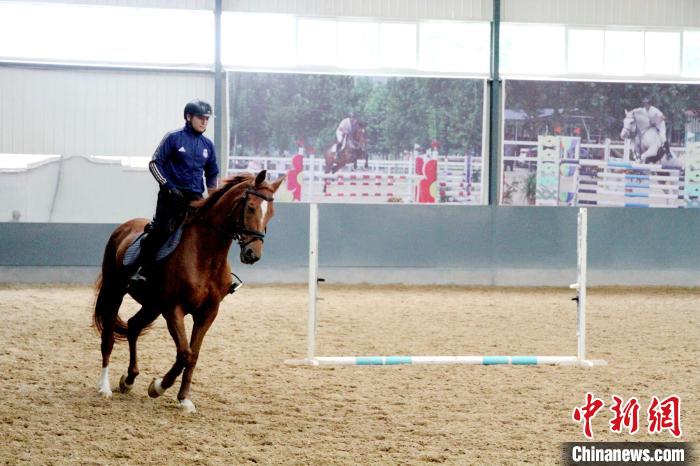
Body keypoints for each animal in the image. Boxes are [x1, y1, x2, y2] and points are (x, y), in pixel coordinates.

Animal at [93, 170, 284, 412]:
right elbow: (184, 353)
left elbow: (194, 355)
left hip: (152, 305)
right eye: (250, 207)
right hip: (115, 292)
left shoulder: (208, 313)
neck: (206, 255)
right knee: (108, 339)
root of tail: (124, 227)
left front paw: (184, 399)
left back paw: (128, 380)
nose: (253, 254)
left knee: (134, 326)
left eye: (271, 213)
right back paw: (105, 387)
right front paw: (158, 387)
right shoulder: (173, 309)